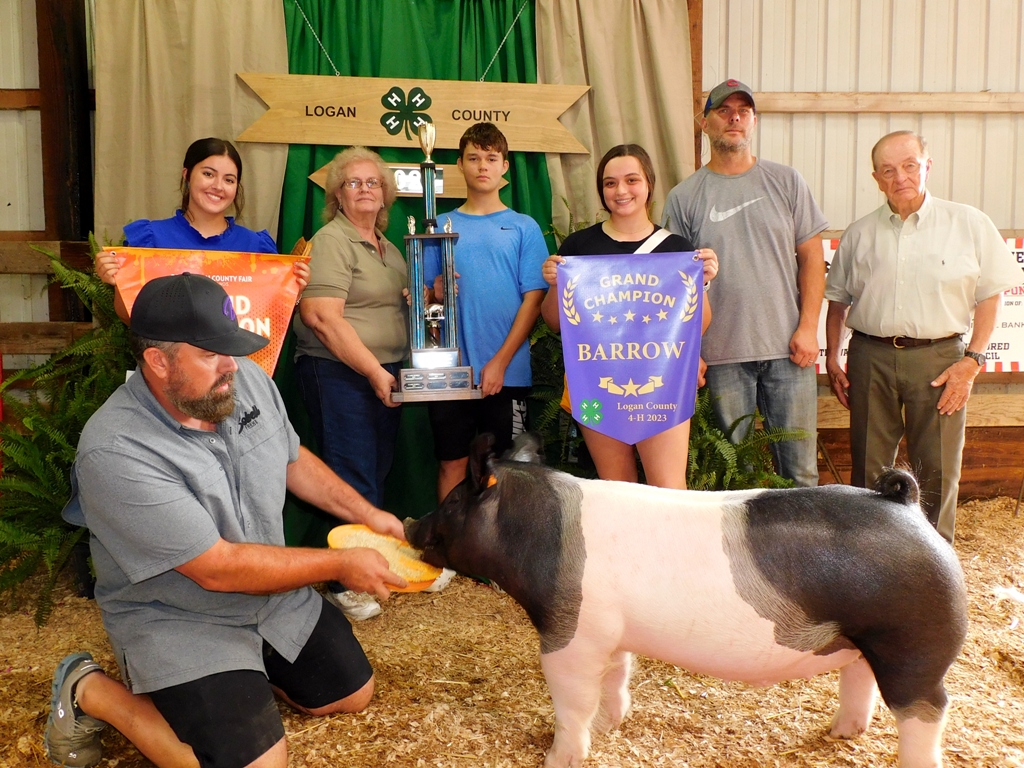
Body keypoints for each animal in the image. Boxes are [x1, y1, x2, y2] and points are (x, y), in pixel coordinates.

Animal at [405, 433, 968, 768]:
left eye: (452, 502)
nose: (410, 523)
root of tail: (904, 503)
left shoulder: (570, 634)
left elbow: (572, 703)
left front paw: (557, 759)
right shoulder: (612, 631)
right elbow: (617, 677)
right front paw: (611, 725)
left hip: (912, 647)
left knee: (929, 711)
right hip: (865, 638)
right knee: (860, 678)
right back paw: (840, 734)